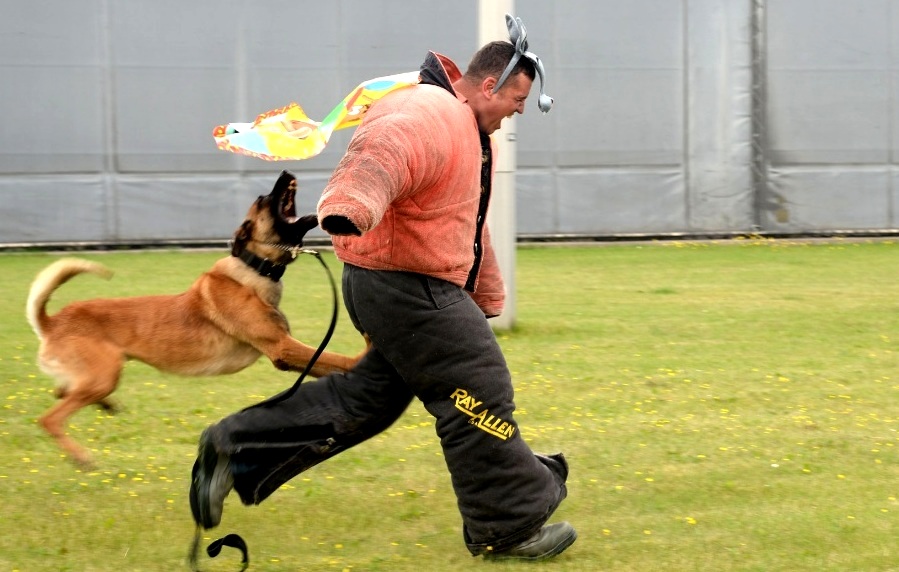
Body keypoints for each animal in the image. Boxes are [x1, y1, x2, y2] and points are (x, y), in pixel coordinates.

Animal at [29, 169, 366, 464]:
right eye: (262, 199)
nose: (285, 172)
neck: (252, 268)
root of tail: (53, 322)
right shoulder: (283, 347)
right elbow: (340, 358)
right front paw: (367, 351)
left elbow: (331, 363)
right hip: (104, 375)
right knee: (50, 418)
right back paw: (80, 455)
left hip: (97, 377)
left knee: (62, 391)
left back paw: (102, 406)